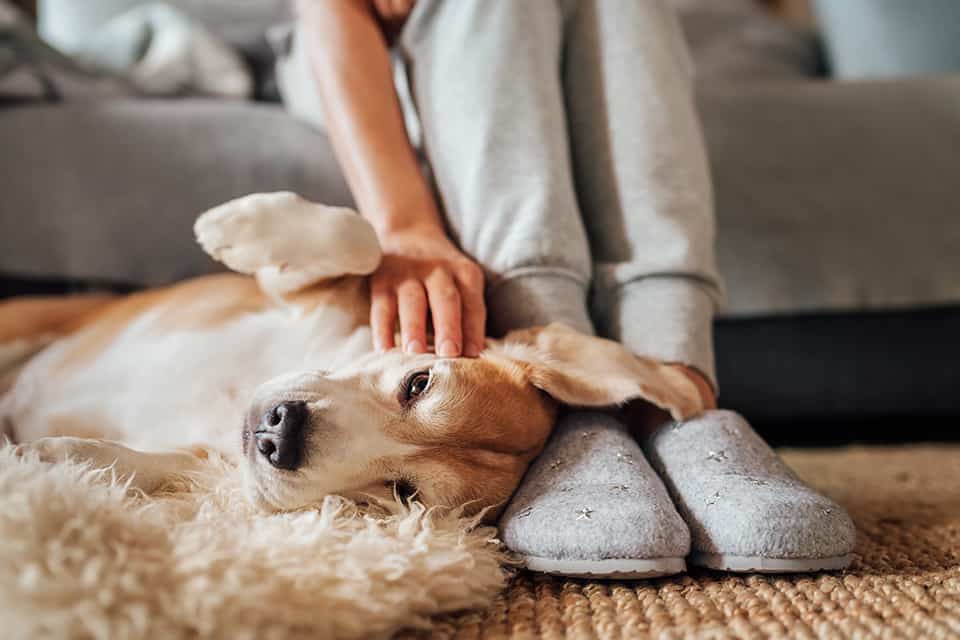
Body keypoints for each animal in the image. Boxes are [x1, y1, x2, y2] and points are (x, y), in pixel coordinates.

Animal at [0, 194, 704, 520]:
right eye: (419, 382)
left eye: (403, 492)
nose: (280, 434)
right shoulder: (301, 295)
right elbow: (360, 239)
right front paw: (236, 227)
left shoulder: (211, 462)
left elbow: (155, 465)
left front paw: (55, 461)